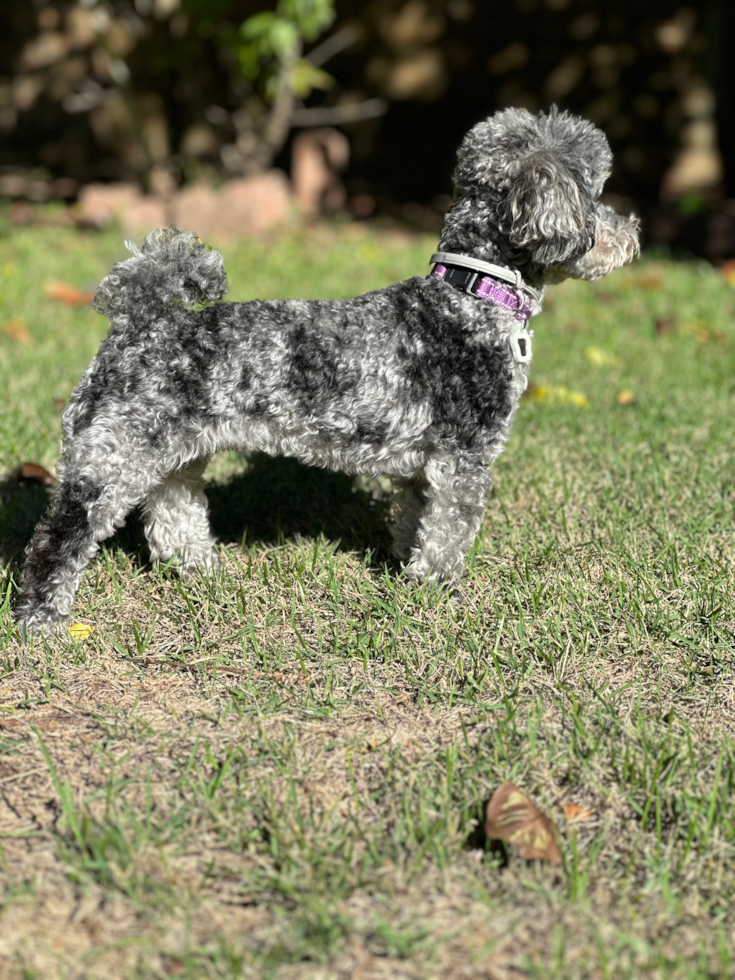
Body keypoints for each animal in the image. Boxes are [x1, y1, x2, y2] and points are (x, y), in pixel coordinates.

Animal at [15, 105, 640, 628]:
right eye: (596, 195)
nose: (631, 232)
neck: (469, 297)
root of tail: (137, 319)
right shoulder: (464, 460)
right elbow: (448, 535)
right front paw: (439, 593)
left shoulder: (425, 470)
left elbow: (416, 522)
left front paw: (406, 575)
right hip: (113, 457)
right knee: (60, 535)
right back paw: (41, 617)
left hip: (173, 454)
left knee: (172, 512)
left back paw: (198, 570)